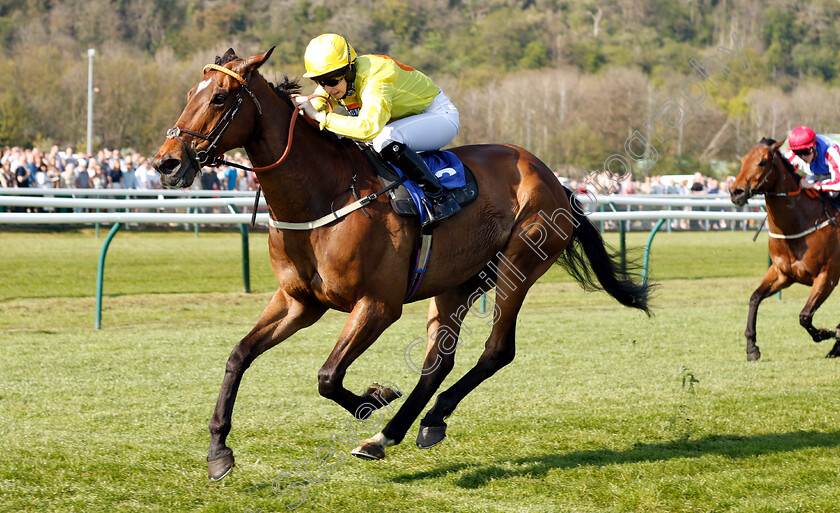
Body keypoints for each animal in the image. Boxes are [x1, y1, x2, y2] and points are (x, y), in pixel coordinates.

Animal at [728, 136, 840, 360]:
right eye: (743, 160)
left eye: (762, 162)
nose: (736, 192)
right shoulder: (782, 274)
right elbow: (755, 298)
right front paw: (751, 347)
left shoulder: (828, 276)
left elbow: (805, 316)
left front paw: (828, 334)